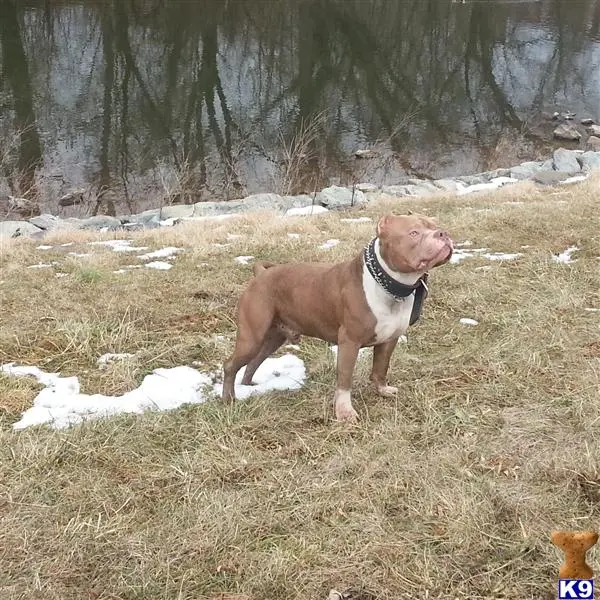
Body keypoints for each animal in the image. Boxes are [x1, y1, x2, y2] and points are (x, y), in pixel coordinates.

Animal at [223, 213, 452, 420]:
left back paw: (249, 387)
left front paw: (382, 390)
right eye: (414, 233)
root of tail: (261, 274)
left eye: (435, 226)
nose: (444, 233)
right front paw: (344, 412)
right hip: (252, 337)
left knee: (253, 362)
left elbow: (380, 368)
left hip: (273, 337)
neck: (387, 284)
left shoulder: (389, 340)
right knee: (230, 365)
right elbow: (344, 380)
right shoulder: (349, 342)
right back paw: (229, 399)